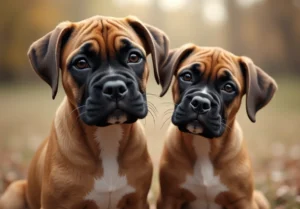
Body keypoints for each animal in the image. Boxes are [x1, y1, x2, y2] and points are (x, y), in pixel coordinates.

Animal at [0, 15, 169, 209]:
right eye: (81, 63)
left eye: (134, 57)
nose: (115, 87)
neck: (108, 134)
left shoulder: (138, 201)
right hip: (13, 192)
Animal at [157, 44, 276, 209]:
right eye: (187, 77)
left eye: (228, 87)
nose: (201, 102)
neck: (203, 143)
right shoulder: (168, 198)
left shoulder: (243, 201)